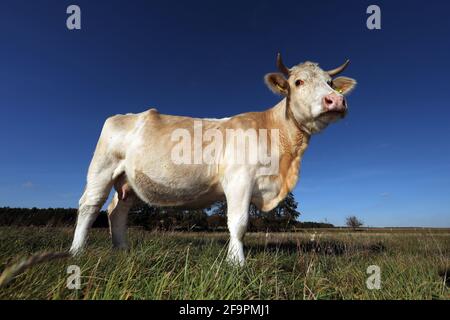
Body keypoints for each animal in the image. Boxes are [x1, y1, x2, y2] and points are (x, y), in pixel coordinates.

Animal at [70, 54, 356, 264]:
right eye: (298, 82)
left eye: (330, 82)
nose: (336, 100)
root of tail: (123, 115)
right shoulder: (239, 180)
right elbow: (238, 223)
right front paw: (236, 263)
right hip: (102, 169)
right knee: (89, 206)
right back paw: (76, 252)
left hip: (127, 181)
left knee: (116, 211)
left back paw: (122, 250)